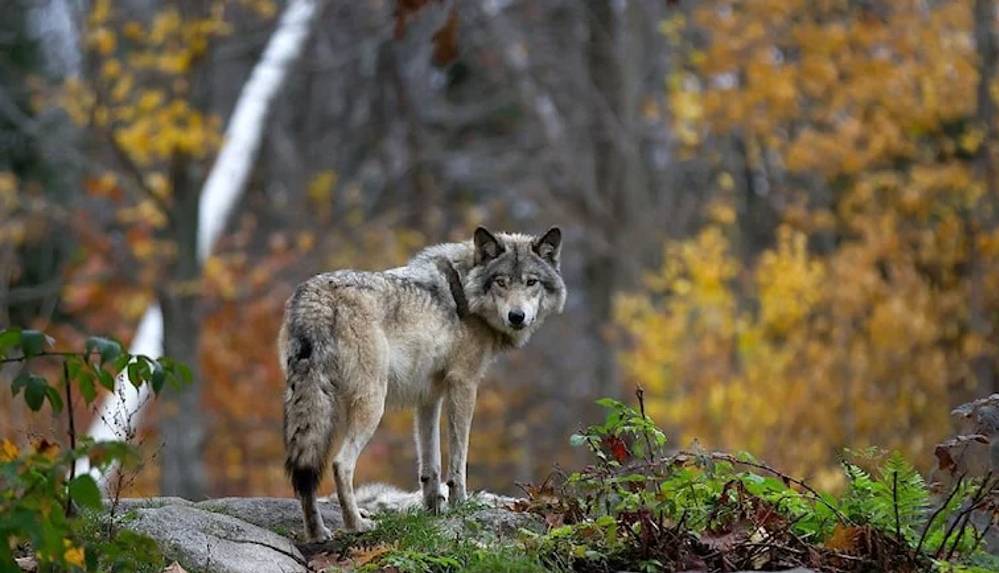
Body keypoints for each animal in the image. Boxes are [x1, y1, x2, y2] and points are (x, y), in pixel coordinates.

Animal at [278, 226, 568, 540]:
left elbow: (431, 464)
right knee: (340, 464)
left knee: (305, 472)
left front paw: (434, 511)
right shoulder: (464, 385)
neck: (465, 291)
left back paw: (317, 533)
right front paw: (459, 504)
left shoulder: (429, 397)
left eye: (531, 282)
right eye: (501, 282)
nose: (517, 317)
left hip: (310, 406)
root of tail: (315, 296)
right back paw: (357, 524)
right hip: (372, 405)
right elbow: (458, 459)